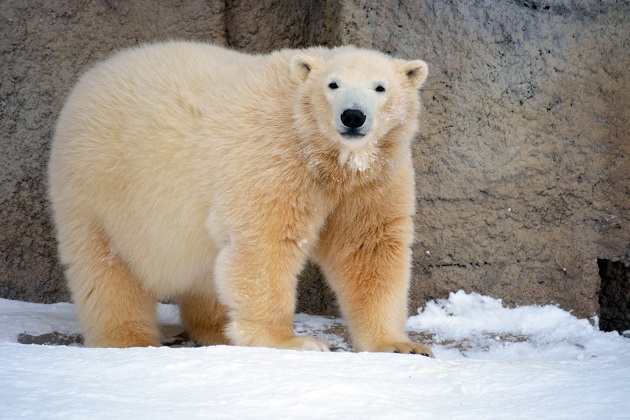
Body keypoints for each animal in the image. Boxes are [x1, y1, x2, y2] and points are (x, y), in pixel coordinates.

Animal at [49, 39, 434, 356]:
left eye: (380, 87)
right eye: (333, 84)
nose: (353, 116)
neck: (325, 155)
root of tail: (90, 78)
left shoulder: (374, 179)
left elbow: (368, 248)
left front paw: (401, 346)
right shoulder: (274, 155)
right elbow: (265, 244)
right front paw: (293, 341)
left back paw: (216, 330)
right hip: (97, 187)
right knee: (104, 269)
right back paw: (130, 339)